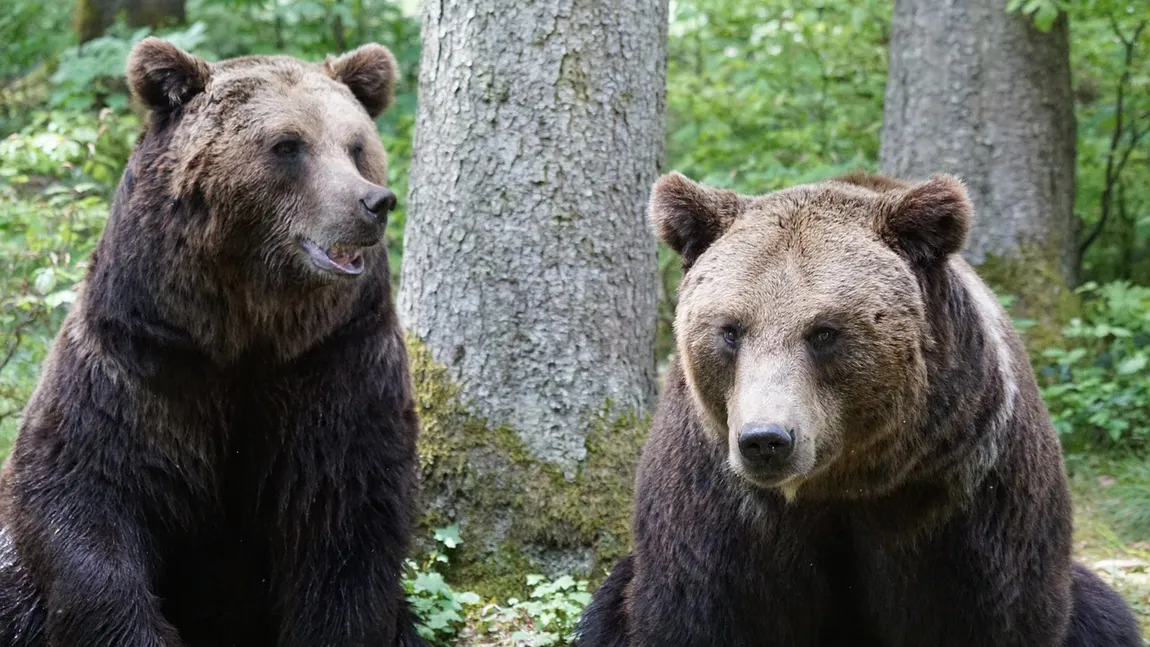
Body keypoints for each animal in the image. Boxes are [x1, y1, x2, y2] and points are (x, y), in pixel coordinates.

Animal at [0, 37, 427, 643]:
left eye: (356, 145)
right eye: (288, 145)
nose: (374, 202)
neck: (243, 328)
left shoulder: (336, 365)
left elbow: (348, 521)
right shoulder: (140, 361)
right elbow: (80, 492)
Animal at [575, 170, 1140, 643]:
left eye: (824, 331)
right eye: (731, 329)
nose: (765, 440)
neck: (843, 482)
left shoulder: (967, 484)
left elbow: (994, 611)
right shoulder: (716, 496)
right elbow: (697, 608)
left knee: (1104, 613)